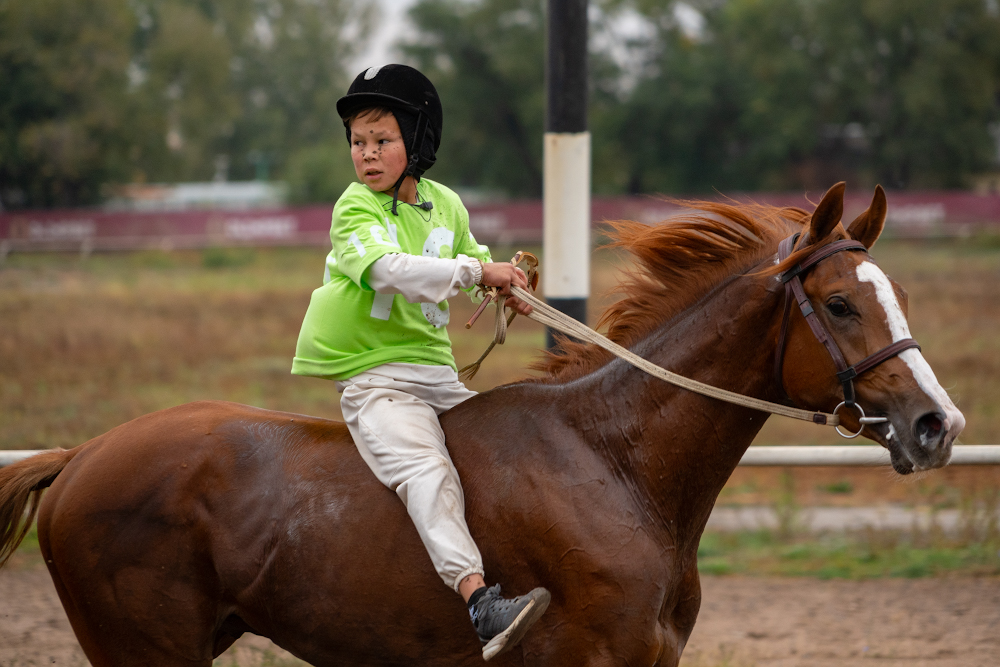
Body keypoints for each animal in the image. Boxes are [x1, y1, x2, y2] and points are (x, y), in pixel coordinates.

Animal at [0, 184, 960, 667]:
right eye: (840, 303)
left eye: (902, 296)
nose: (936, 423)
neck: (616, 462)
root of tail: (82, 453)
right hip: (143, 650)